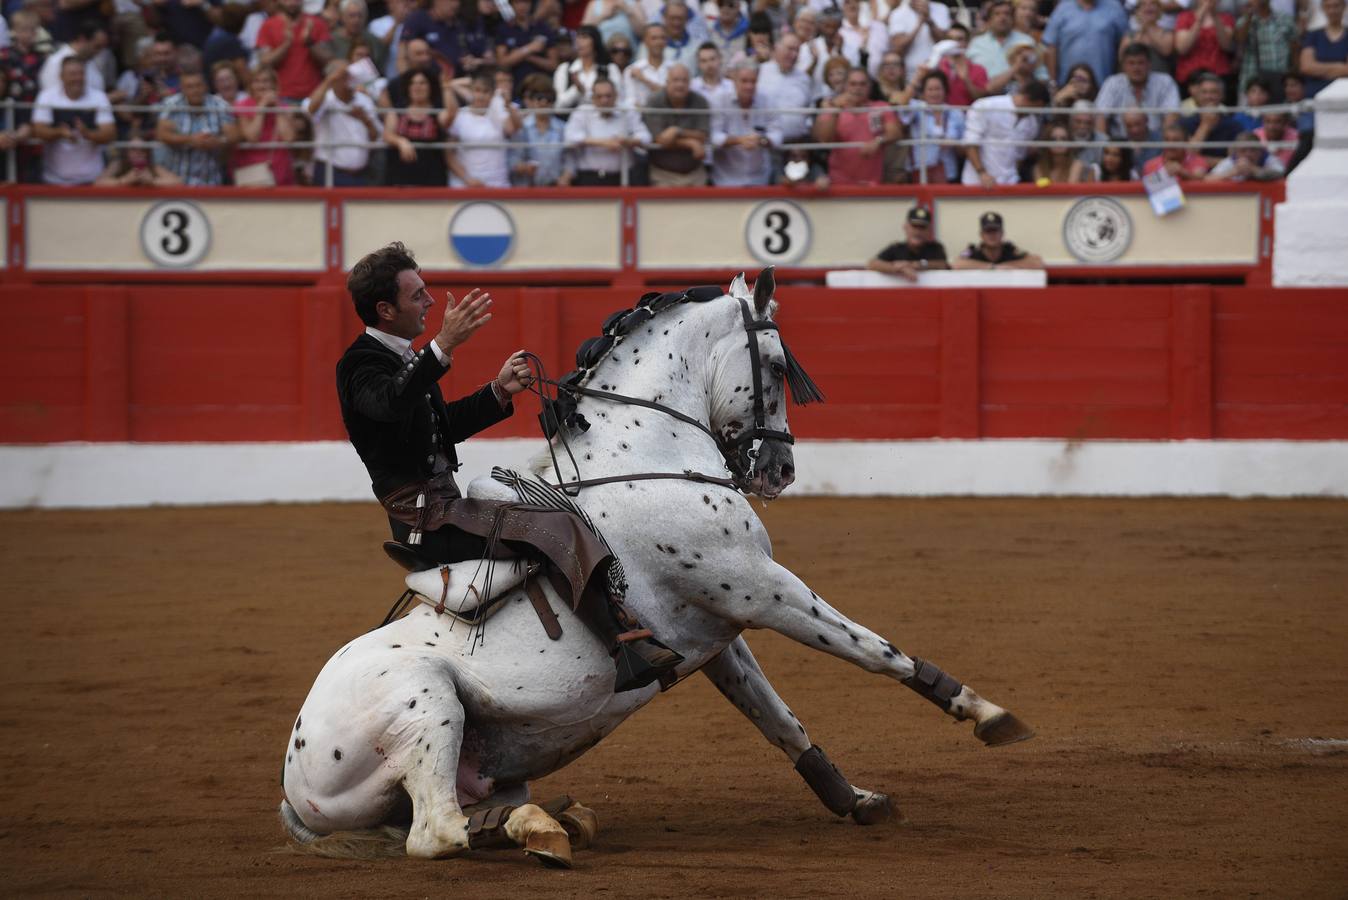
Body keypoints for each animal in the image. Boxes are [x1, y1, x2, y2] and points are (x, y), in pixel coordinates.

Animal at [279, 269, 1024, 862]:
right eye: (778, 365)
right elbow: (875, 650)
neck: (645, 455)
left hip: (484, 762)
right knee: (438, 833)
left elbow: (778, 718)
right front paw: (986, 712)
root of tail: (291, 785)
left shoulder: (719, 631)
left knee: (461, 813)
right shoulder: (763, 591)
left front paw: (858, 799)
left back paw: (557, 818)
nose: (779, 469)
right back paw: (542, 830)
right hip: (427, 705)